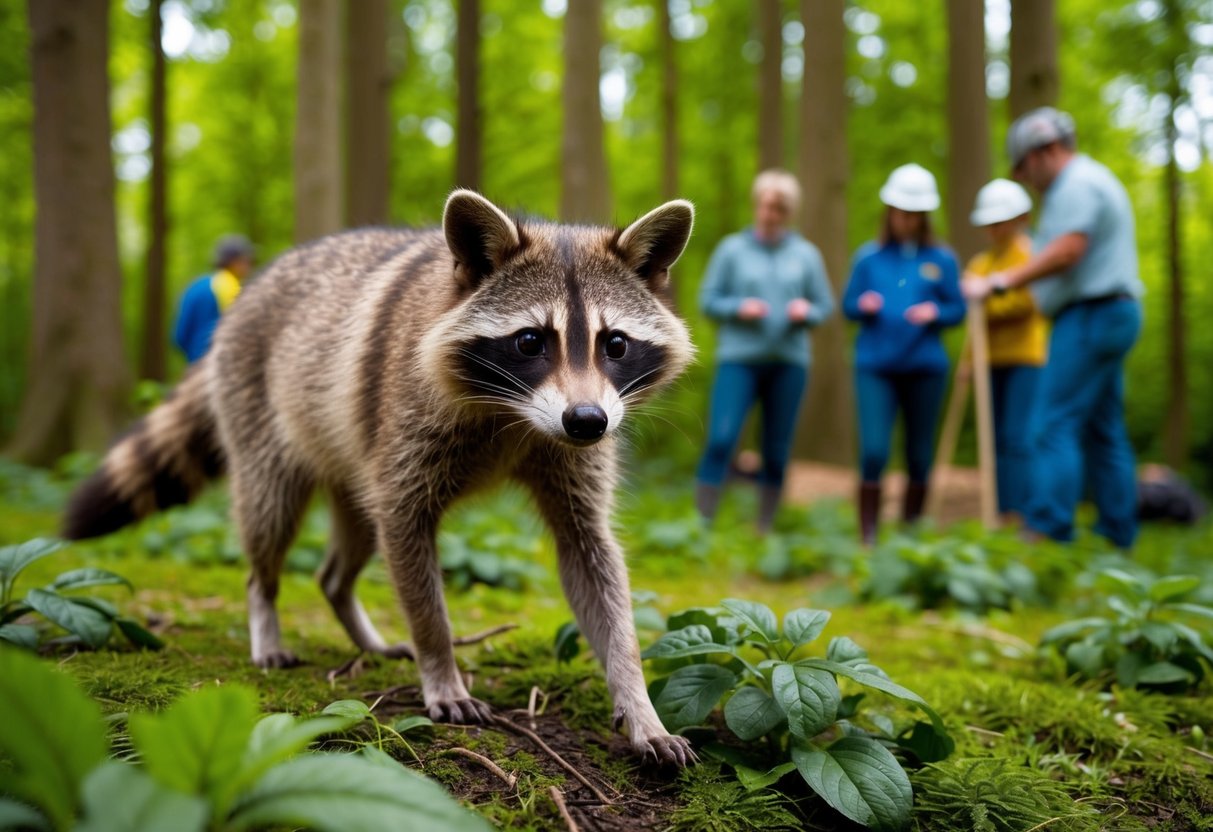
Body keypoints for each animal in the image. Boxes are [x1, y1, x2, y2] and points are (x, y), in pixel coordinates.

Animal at [64, 190, 696, 764]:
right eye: (529, 341)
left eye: (615, 344)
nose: (586, 420)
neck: (515, 416)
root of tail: (250, 292)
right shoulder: (407, 421)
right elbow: (413, 554)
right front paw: (440, 664)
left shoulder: (572, 454)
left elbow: (590, 554)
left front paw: (637, 698)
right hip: (262, 416)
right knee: (269, 520)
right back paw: (264, 610)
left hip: (355, 464)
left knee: (344, 558)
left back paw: (354, 620)